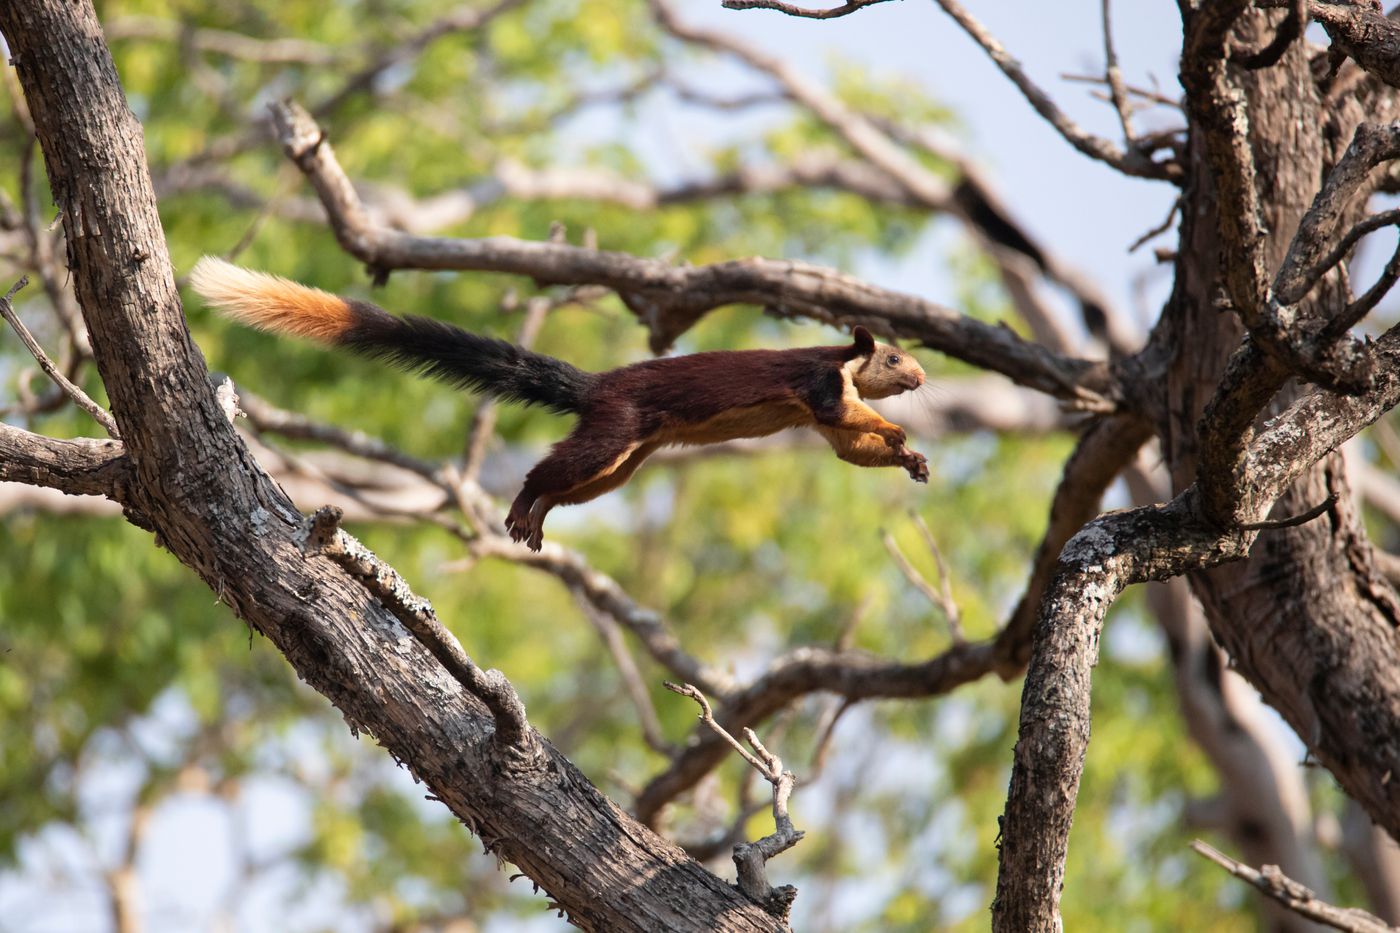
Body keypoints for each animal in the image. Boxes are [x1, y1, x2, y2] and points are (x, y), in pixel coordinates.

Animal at [190, 257, 930, 551]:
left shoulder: (827, 416)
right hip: (616, 432)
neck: (847, 367)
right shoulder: (821, 385)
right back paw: (521, 509)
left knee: (567, 485)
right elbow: (849, 420)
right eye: (895, 358)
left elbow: (849, 448)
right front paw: (902, 435)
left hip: (627, 459)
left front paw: (911, 460)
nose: (923, 377)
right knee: (543, 470)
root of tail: (597, 386)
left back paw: (534, 523)